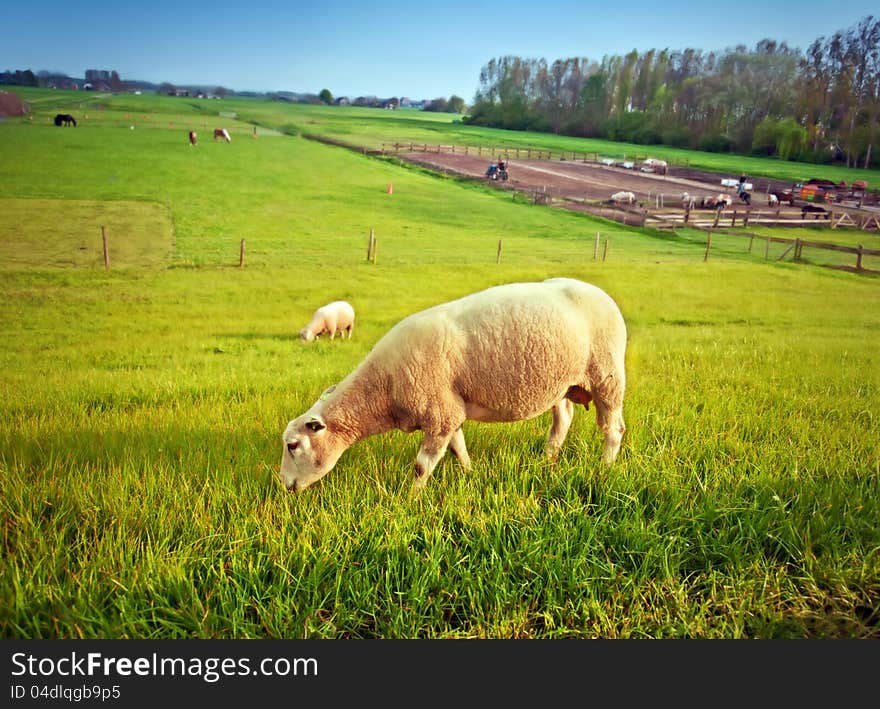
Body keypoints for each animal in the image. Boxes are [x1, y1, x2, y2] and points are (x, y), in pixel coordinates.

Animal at [278, 278, 628, 492]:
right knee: (563, 419)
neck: (383, 387)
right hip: (563, 382)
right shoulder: (448, 410)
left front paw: (411, 498)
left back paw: (605, 467)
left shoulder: (438, 414)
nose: (283, 484)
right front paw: (470, 473)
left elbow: (421, 466)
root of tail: (601, 293)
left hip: (607, 375)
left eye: (293, 445)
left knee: (613, 428)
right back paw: (547, 459)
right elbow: (459, 447)